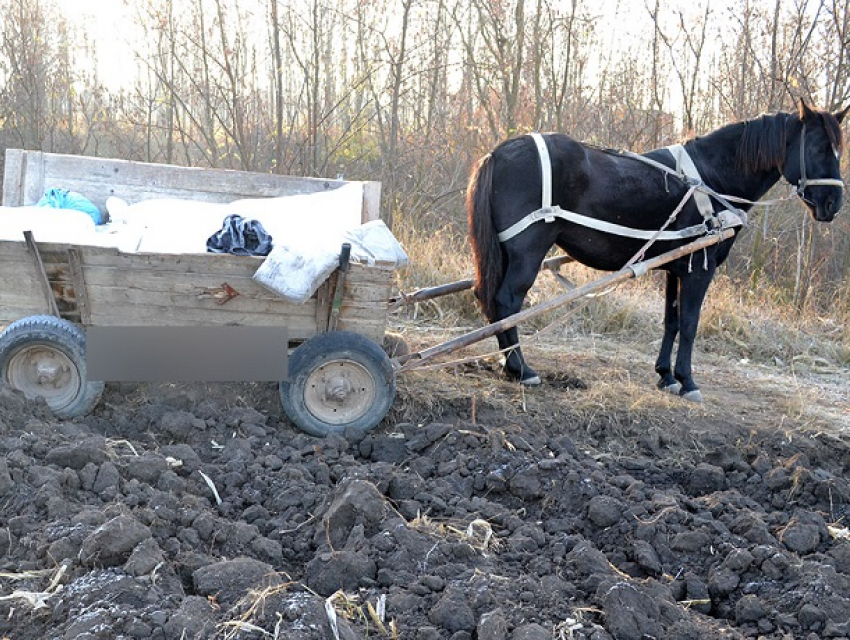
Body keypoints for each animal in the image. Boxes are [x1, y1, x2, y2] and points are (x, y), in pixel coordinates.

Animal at [468, 99, 844, 400]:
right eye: (819, 149)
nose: (833, 204)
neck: (712, 176)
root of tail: (498, 152)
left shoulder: (676, 267)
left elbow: (672, 321)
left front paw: (666, 376)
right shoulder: (700, 266)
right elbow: (690, 323)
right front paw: (688, 381)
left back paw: (509, 364)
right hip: (528, 251)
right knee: (507, 302)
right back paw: (521, 368)